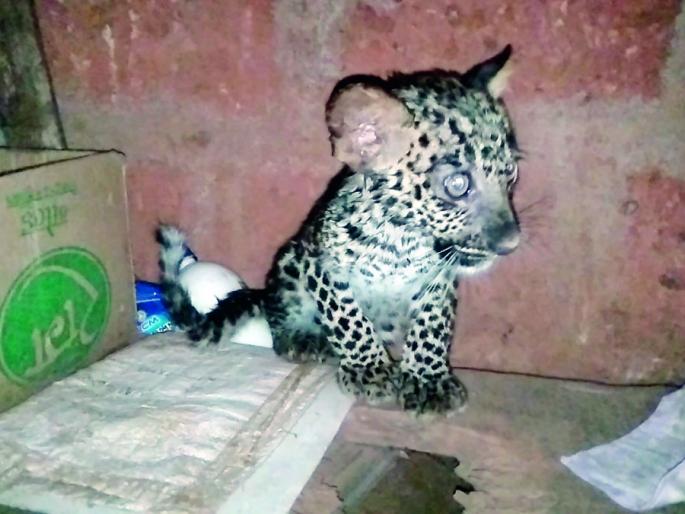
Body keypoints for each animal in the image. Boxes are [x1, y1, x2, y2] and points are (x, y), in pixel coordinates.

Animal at [157, 45, 521, 414]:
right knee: (278, 321)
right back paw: (303, 338)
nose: (511, 243)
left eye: (512, 174)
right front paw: (369, 371)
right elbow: (347, 318)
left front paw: (428, 380)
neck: (405, 242)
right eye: (457, 185)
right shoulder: (321, 264)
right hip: (289, 263)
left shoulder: (438, 278)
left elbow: (433, 324)